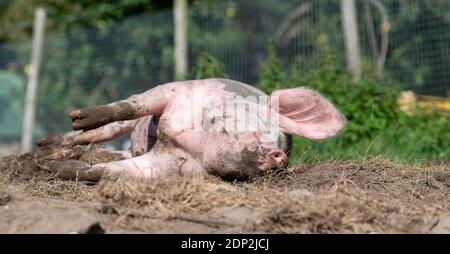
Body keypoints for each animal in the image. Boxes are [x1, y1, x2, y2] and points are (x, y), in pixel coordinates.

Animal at [37, 79, 348, 181]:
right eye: (264, 125)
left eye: (280, 143)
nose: (279, 156)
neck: (192, 143)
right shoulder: (178, 91)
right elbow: (133, 104)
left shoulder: (162, 166)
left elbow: (102, 172)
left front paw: (50, 169)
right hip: (119, 128)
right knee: (96, 133)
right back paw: (48, 142)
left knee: (114, 154)